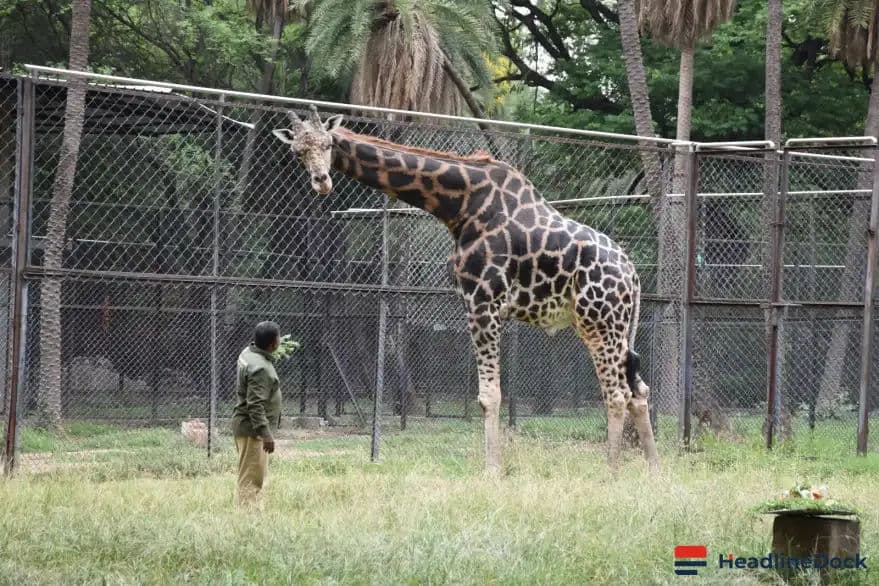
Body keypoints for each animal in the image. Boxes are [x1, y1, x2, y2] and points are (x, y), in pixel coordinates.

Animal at [272, 106, 661, 474]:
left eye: (328, 144)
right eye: (297, 152)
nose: (321, 181)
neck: (458, 205)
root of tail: (632, 275)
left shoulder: (483, 301)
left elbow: (489, 395)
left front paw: (491, 469)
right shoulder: (475, 302)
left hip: (600, 322)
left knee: (616, 392)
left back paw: (610, 471)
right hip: (615, 326)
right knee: (639, 390)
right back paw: (653, 470)